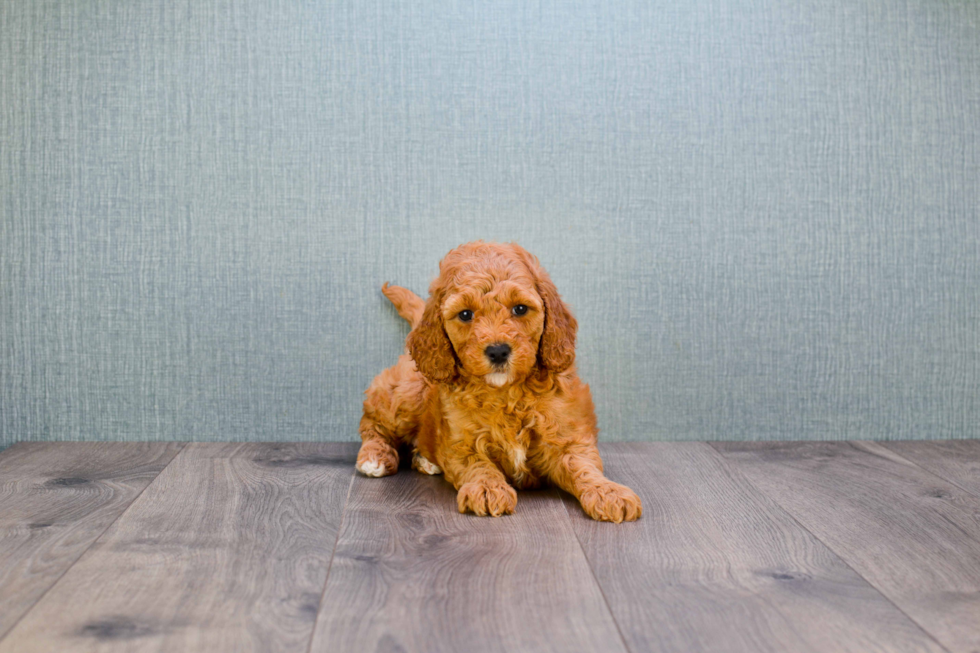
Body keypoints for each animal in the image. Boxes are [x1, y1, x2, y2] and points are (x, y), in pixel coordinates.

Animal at [356, 242, 640, 524]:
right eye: (465, 314)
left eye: (520, 309)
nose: (498, 351)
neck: (506, 393)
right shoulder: (461, 443)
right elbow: (478, 465)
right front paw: (487, 488)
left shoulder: (565, 436)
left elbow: (583, 466)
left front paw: (608, 492)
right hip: (406, 394)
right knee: (373, 423)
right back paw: (374, 457)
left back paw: (425, 460)